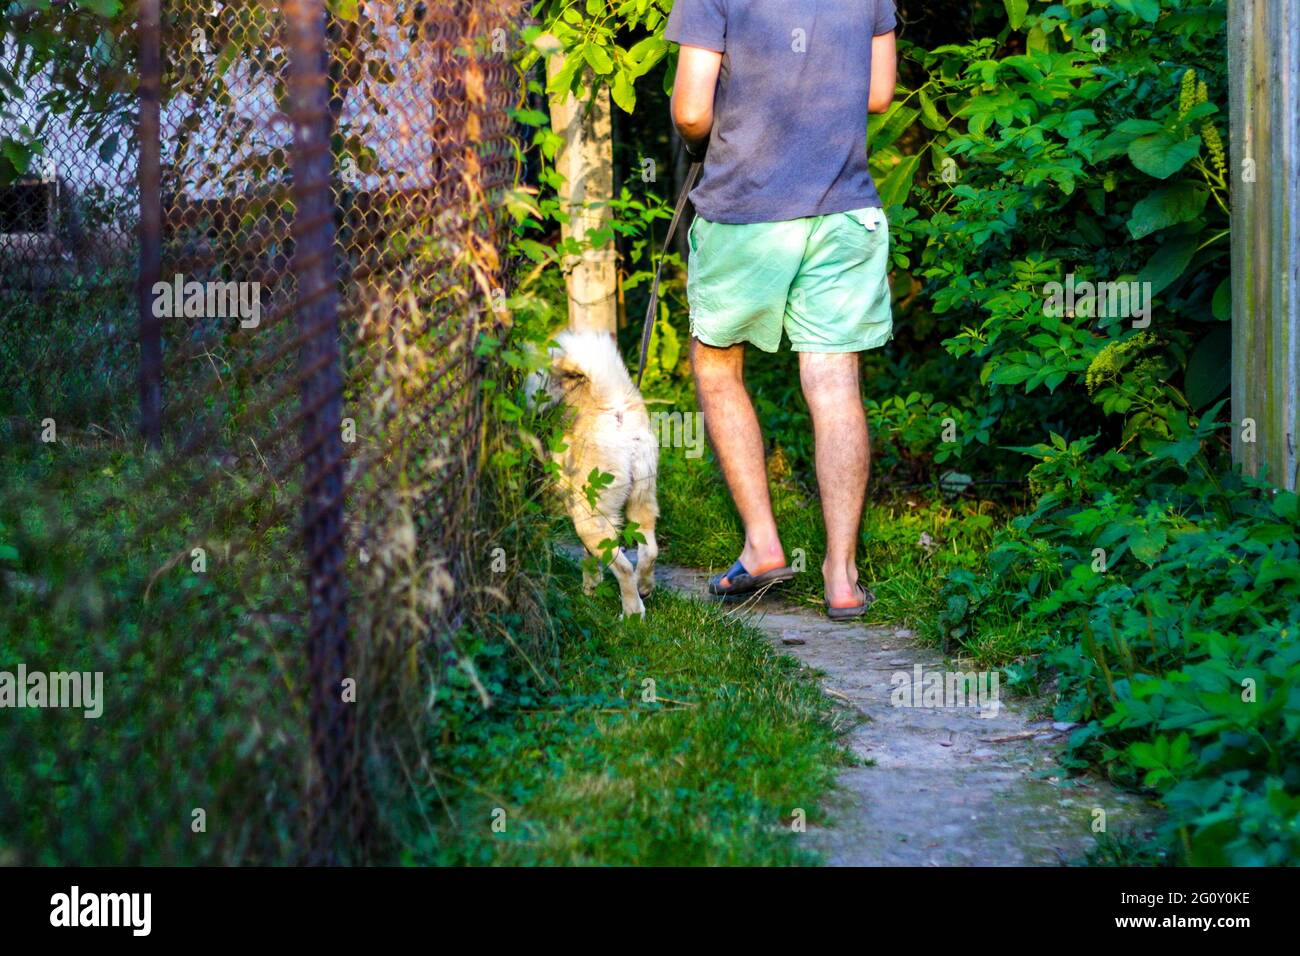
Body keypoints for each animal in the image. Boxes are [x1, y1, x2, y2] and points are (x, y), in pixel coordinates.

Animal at [527, 329, 655, 616]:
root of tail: (614, 410)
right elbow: (588, 557)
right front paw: (591, 586)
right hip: (641, 502)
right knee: (649, 551)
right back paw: (644, 587)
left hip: (588, 517)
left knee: (624, 568)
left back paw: (632, 613)